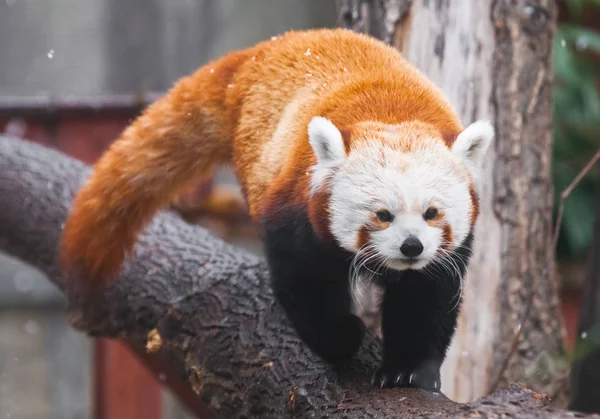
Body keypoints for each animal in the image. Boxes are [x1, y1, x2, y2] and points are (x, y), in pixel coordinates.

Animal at [58, 27, 494, 392]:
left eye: (431, 213)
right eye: (382, 214)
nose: (411, 247)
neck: (393, 114)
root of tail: (263, 49)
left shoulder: (446, 253)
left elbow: (427, 298)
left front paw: (408, 370)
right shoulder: (296, 210)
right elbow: (305, 283)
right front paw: (342, 340)